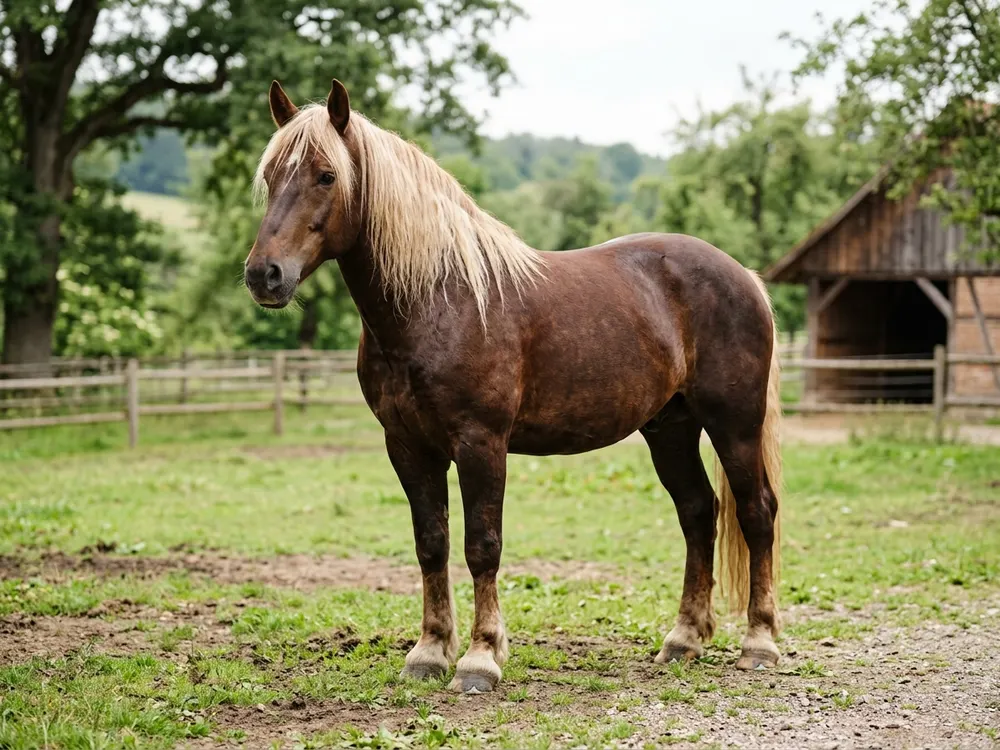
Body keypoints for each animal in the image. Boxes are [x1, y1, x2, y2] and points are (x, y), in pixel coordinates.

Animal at [245, 79, 783, 694]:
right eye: (271, 176)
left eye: (327, 176)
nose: (264, 275)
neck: (440, 300)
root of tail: (745, 277)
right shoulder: (407, 446)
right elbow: (431, 544)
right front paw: (430, 652)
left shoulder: (481, 444)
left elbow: (482, 547)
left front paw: (480, 658)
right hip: (669, 428)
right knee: (698, 512)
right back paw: (683, 640)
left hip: (733, 425)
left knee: (756, 513)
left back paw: (759, 642)